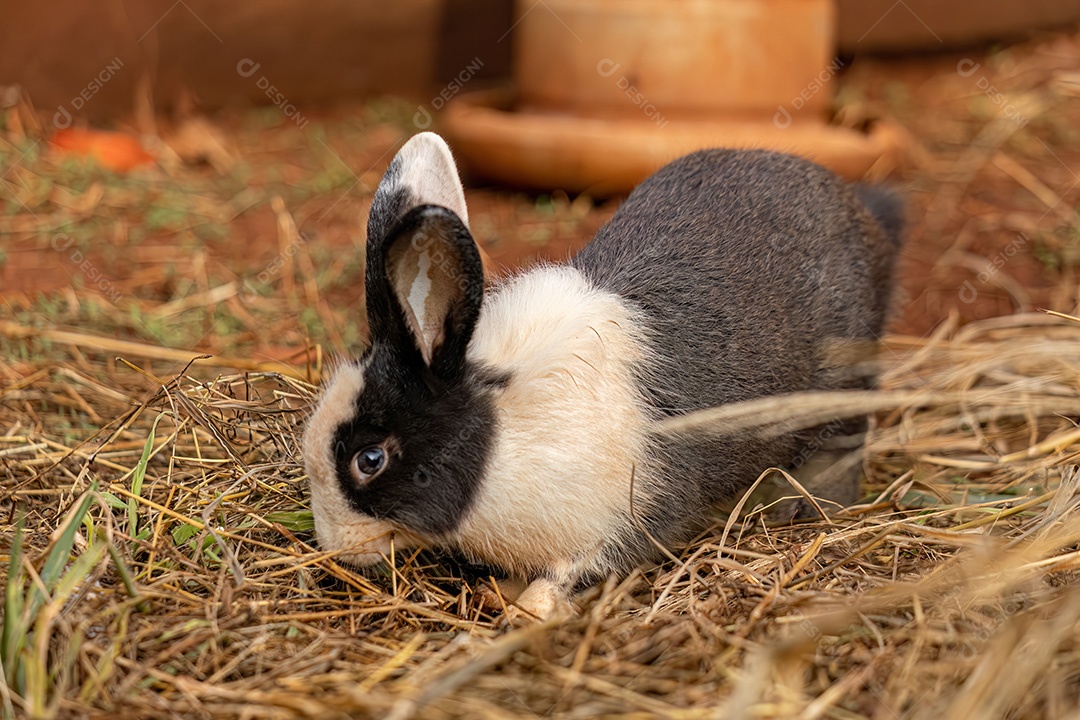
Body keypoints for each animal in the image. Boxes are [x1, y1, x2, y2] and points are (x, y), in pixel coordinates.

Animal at [302, 132, 902, 620]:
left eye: (369, 460)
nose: (333, 545)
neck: (500, 432)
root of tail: (863, 216)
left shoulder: (627, 519)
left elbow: (574, 574)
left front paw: (529, 609)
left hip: (842, 386)